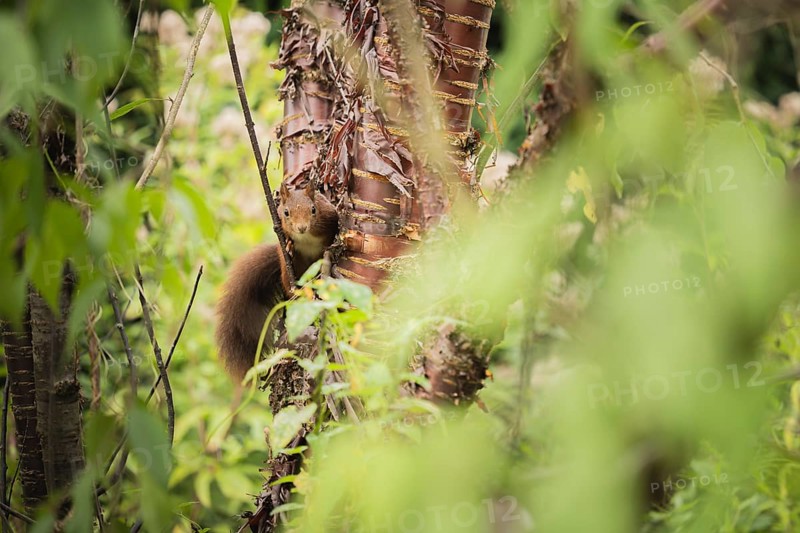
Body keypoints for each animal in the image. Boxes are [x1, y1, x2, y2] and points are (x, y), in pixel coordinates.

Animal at [215, 181, 339, 381]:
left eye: (313, 209)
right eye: (286, 212)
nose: (302, 228)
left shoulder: (330, 217)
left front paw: (331, 248)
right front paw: (288, 243)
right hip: (288, 270)